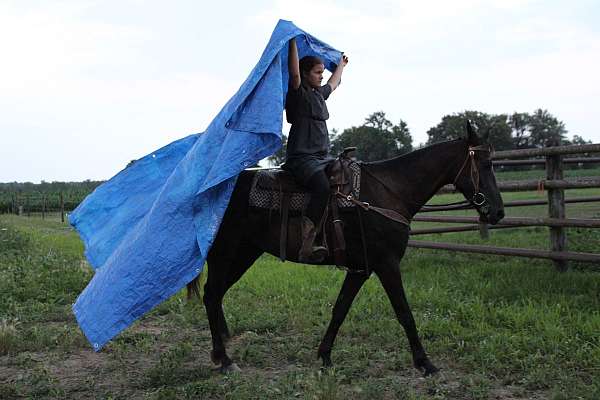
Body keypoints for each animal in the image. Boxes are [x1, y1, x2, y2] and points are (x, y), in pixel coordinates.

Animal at [189, 122, 506, 376]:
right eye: (486, 164)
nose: (498, 212)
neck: (388, 193)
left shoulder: (360, 269)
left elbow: (340, 309)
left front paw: (325, 356)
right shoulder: (387, 264)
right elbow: (404, 312)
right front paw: (425, 363)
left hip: (245, 253)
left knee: (216, 295)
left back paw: (221, 350)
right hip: (225, 252)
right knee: (212, 294)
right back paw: (225, 360)